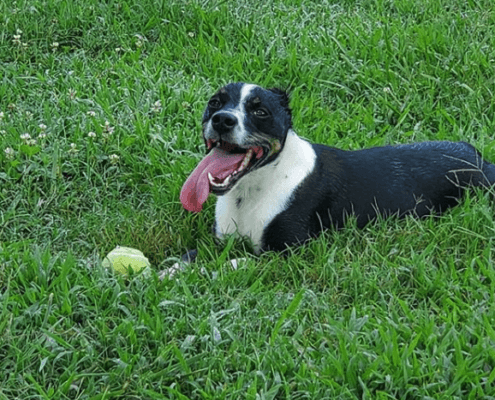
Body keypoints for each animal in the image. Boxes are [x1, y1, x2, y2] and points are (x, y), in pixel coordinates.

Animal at [181, 83, 495, 255]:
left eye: (260, 111)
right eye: (215, 102)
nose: (222, 119)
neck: (253, 187)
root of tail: (481, 160)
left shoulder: (283, 252)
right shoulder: (221, 241)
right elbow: (191, 256)